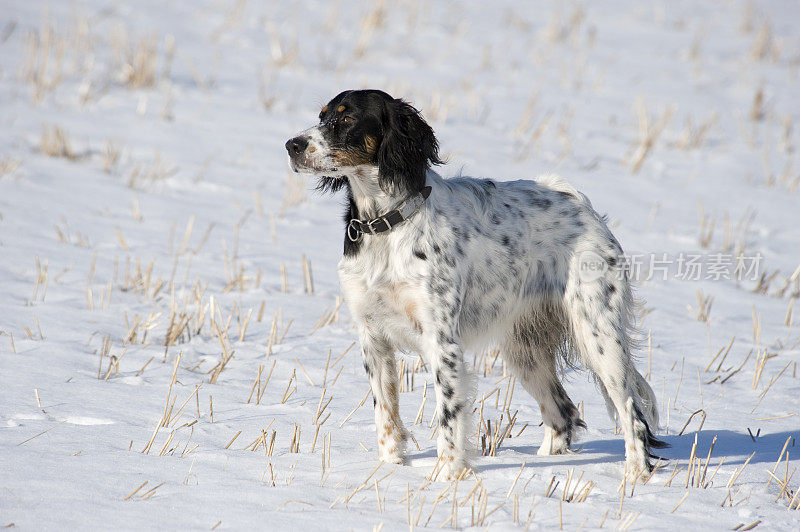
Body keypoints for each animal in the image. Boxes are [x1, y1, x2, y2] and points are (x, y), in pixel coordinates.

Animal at [284, 89, 664, 480]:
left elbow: (449, 417)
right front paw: (390, 469)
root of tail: (582, 204)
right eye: (322, 115)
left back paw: (635, 476)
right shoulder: (373, 339)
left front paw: (449, 477)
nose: (292, 145)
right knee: (562, 412)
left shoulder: (442, 342)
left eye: (347, 118)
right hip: (525, 349)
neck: (387, 225)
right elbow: (385, 415)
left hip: (598, 335)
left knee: (631, 412)